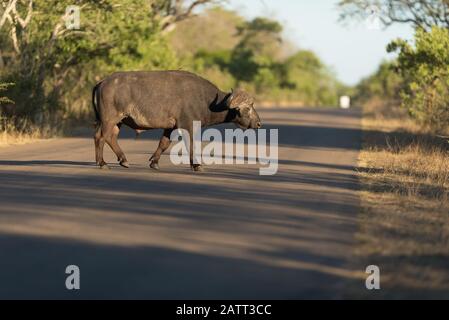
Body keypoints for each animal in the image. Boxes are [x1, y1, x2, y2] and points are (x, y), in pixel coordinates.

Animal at [93, 70, 260, 171]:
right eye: (248, 108)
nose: (259, 123)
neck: (207, 101)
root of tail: (102, 82)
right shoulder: (188, 125)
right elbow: (191, 144)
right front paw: (197, 165)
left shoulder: (171, 127)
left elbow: (164, 143)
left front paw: (154, 162)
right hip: (110, 119)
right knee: (102, 137)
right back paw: (103, 163)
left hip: (117, 121)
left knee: (106, 137)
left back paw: (120, 160)